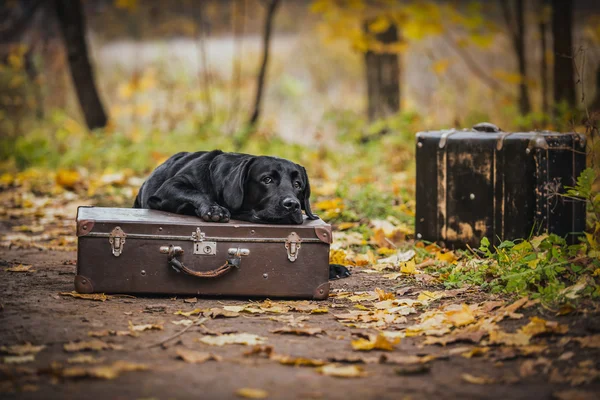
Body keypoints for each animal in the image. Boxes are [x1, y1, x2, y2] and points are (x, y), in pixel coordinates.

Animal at [135, 148, 352, 280]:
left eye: (298, 185)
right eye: (267, 180)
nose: (293, 204)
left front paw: (332, 267)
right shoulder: (168, 189)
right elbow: (196, 193)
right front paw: (214, 209)